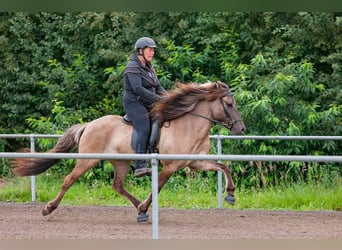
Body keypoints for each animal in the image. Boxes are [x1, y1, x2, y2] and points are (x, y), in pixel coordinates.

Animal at [11, 81, 246, 222]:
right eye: (228, 104)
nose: (241, 129)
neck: (188, 125)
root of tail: (89, 125)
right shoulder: (169, 166)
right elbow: (157, 188)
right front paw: (145, 205)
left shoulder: (194, 162)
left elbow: (223, 166)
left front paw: (231, 194)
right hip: (88, 160)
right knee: (69, 180)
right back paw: (48, 208)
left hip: (121, 162)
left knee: (118, 185)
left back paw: (140, 211)